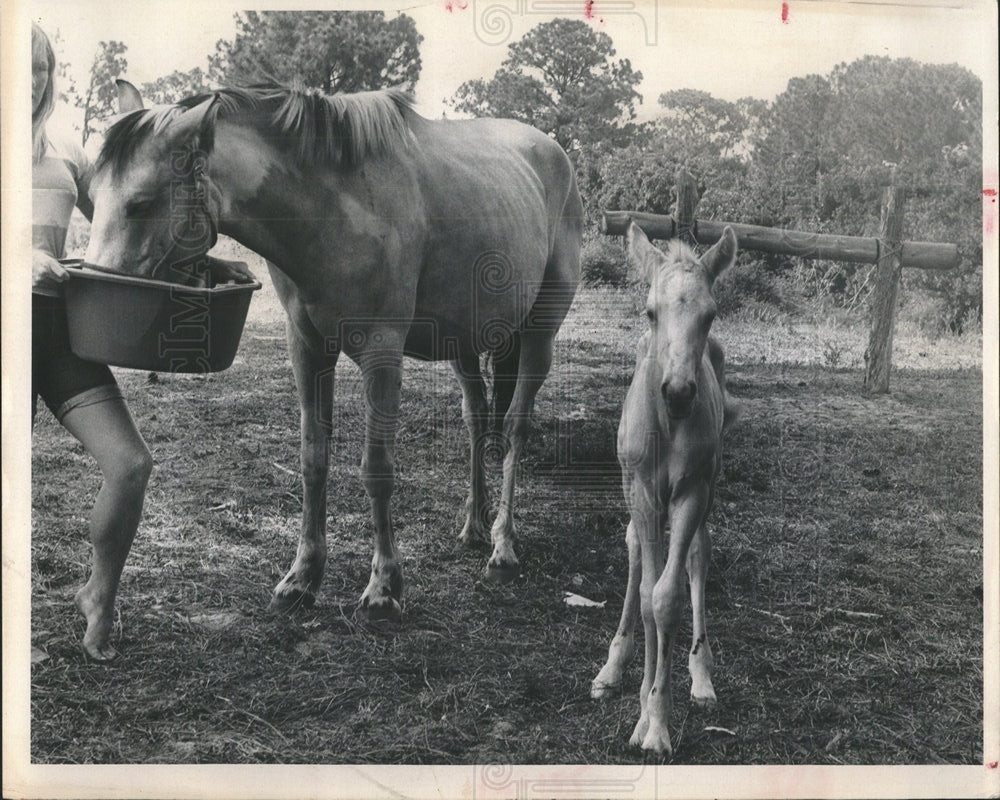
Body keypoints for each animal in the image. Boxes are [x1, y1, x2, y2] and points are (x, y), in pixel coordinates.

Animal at [88, 81, 584, 620]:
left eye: (139, 203)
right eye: (91, 197)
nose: (96, 290)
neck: (335, 205)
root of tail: (553, 152)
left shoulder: (381, 354)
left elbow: (377, 470)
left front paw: (385, 585)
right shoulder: (307, 349)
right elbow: (313, 460)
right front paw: (302, 576)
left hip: (539, 336)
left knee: (515, 428)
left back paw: (502, 547)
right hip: (465, 345)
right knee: (476, 421)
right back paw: (474, 525)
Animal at [584, 222, 744, 752]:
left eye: (710, 315)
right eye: (650, 311)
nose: (677, 392)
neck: (670, 426)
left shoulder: (693, 491)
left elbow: (667, 596)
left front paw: (657, 720)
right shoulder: (643, 493)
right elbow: (648, 596)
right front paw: (643, 709)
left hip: (706, 489)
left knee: (698, 554)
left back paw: (701, 673)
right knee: (634, 551)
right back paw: (612, 668)